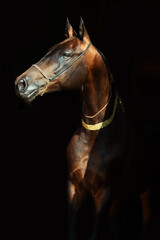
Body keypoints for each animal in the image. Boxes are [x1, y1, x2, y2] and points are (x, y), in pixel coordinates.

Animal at [14, 17, 155, 240]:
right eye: (50, 50)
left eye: (66, 54)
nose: (21, 83)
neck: (94, 136)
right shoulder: (74, 189)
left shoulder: (104, 195)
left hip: (146, 193)